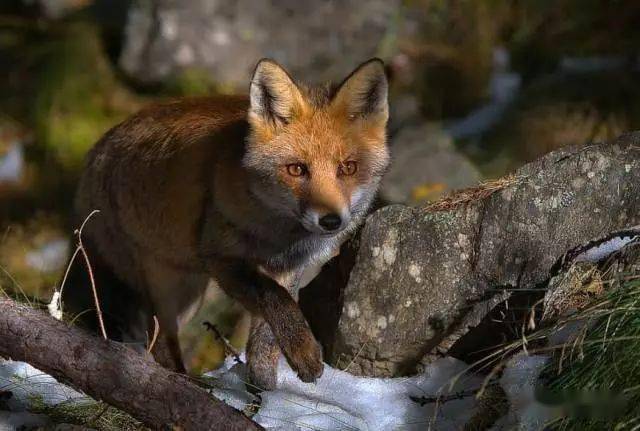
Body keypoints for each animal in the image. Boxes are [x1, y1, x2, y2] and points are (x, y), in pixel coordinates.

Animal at [62, 58, 388, 392]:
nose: (331, 221)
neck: (280, 234)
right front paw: (305, 353)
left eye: (348, 168)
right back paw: (182, 383)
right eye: (297, 169)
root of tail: (96, 151)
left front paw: (265, 391)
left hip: (191, 293)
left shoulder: (288, 267)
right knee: (160, 341)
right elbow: (276, 299)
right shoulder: (221, 258)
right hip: (167, 283)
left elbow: (266, 338)